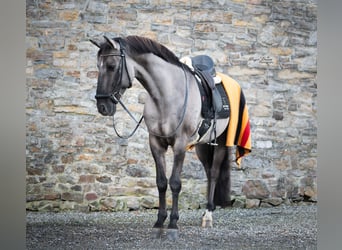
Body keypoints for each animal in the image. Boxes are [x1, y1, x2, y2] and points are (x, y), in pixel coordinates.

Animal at [91, 35, 234, 240]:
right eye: (98, 66)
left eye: (111, 66)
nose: (102, 106)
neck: (167, 96)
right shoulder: (156, 143)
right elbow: (161, 183)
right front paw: (159, 222)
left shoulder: (180, 145)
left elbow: (175, 183)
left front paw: (173, 224)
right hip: (202, 145)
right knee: (208, 172)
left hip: (221, 142)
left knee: (214, 173)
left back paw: (208, 215)